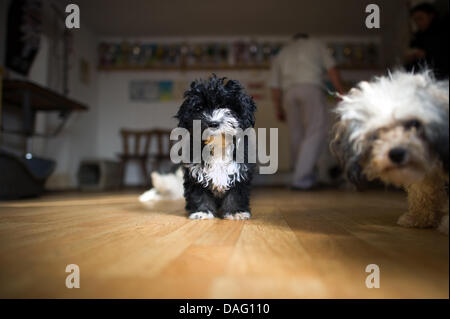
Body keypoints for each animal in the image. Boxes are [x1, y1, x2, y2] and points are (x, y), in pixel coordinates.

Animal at [175, 75, 255, 220]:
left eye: (227, 107)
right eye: (199, 108)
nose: (213, 123)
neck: (218, 144)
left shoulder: (239, 170)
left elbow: (236, 194)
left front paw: (236, 212)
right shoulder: (196, 172)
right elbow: (199, 194)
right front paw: (202, 212)